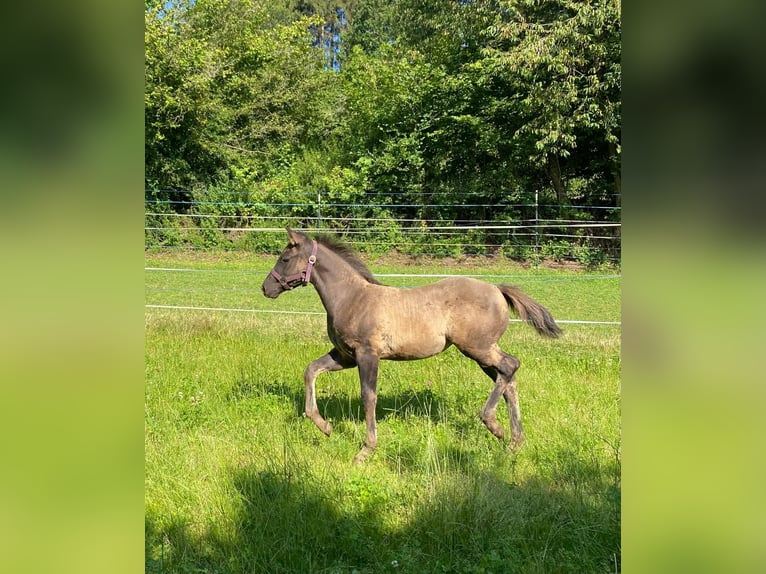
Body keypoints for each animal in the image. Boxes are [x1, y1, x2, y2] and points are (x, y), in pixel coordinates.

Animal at [264, 228, 564, 464]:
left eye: (285, 259)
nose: (266, 288)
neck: (352, 297)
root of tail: (497, 289)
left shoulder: (367, 354)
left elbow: (368, 397)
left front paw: (366, 450)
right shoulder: (345, 356)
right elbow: (311, 370)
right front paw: (324, 426)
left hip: (478, 348)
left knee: (511, 366)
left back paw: (493, 423)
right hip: (481, 354)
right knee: (508, 379)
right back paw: (513, 441)